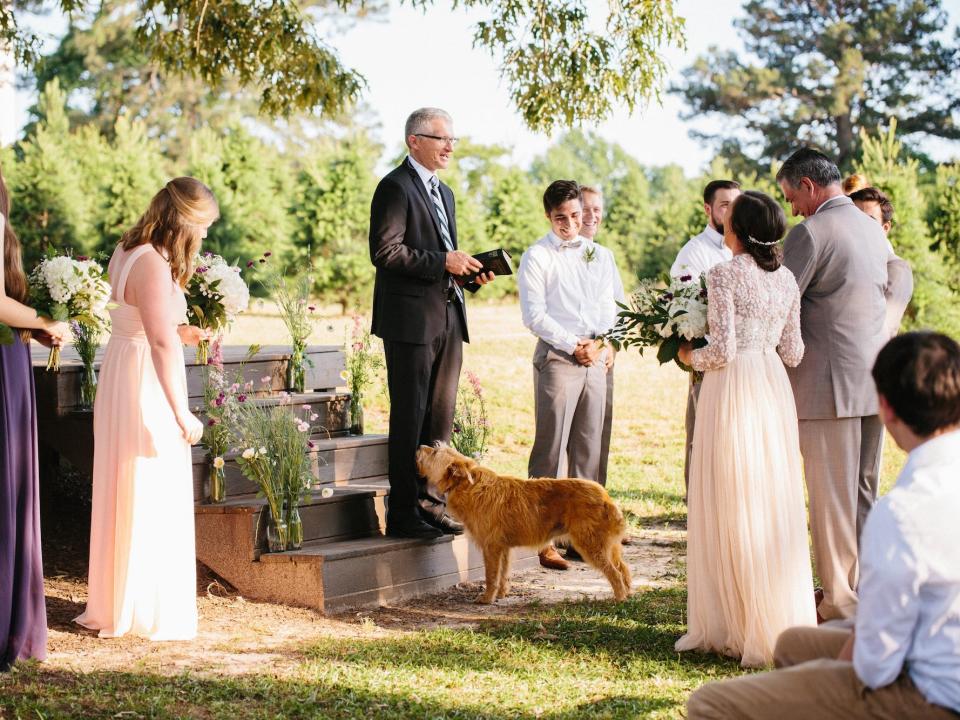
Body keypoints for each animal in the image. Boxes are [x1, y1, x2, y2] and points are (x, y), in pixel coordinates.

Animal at [416, 444, 632, 600]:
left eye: (434, 452)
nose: (419, 446)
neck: (469, 486)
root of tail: (605, 496)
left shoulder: (491, 547)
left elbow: (491, 575)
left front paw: (487, 598)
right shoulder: (503, 548)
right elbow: (503, 573)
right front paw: (501, 594)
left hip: (591, 545)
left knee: (615, 574)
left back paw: (619, 599)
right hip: (607, 546)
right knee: (624, 569)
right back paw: (628, 595)